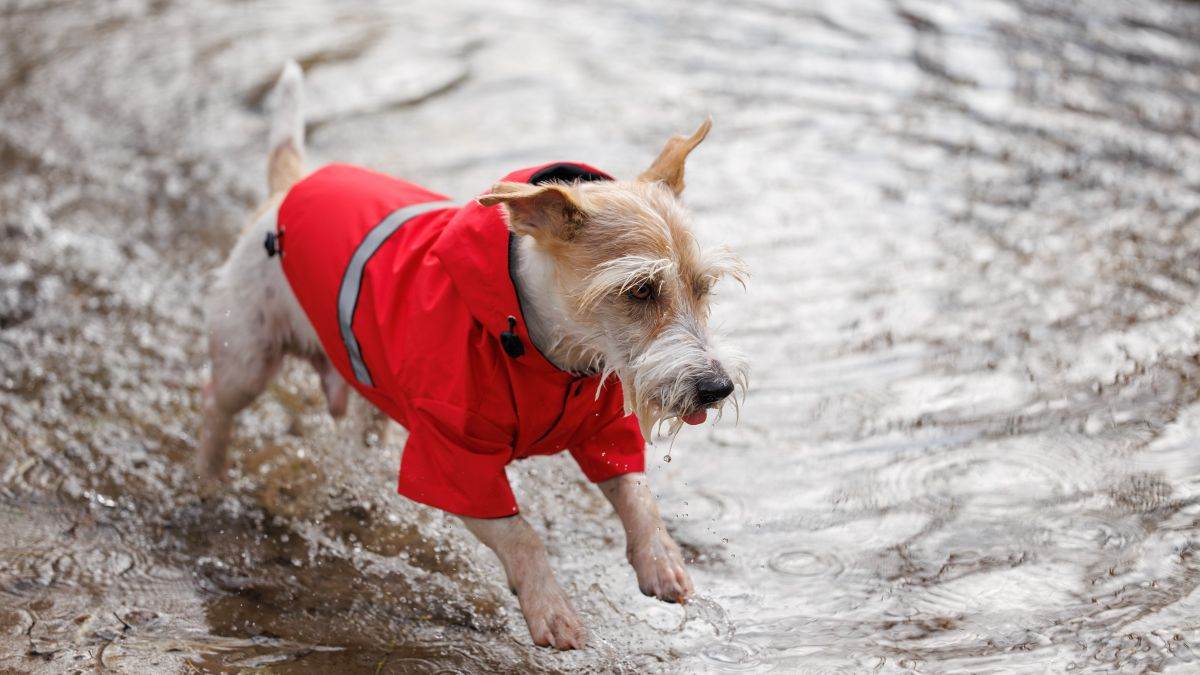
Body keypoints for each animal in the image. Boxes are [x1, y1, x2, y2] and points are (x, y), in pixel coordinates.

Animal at [202, 63, 748, 648]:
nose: (717, 388)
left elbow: (637, 493)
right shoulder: (451, 461)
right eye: (640, 290)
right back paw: (208, 478)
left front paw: (660, 560)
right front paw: (550, 607)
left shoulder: (603, 431)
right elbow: (520, 532)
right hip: (247, 359)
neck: (547, 351)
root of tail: (291, 184)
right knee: (218, 408)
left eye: (703, 287)